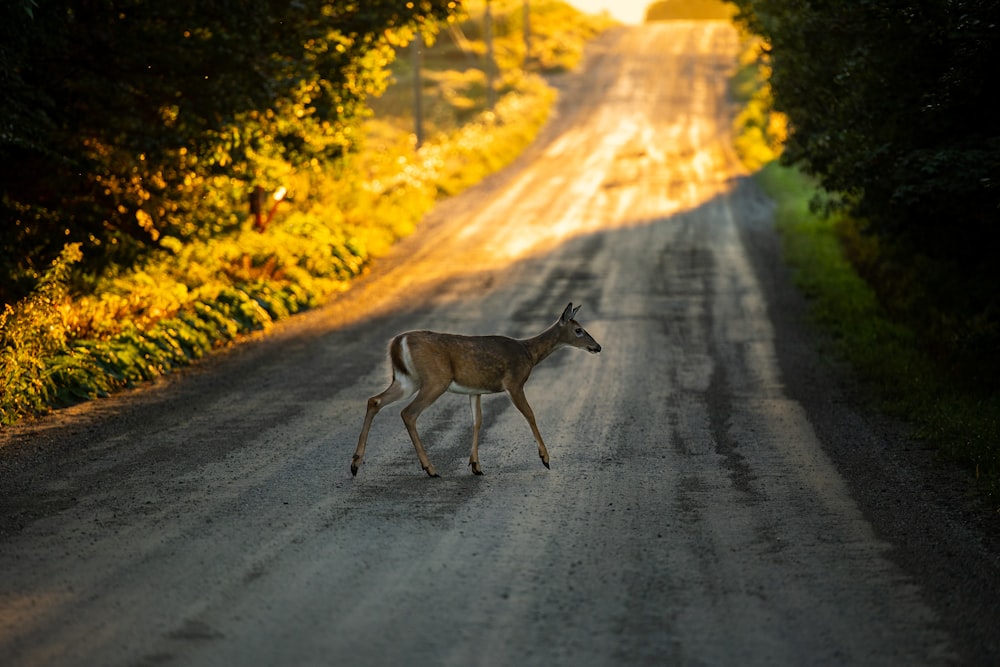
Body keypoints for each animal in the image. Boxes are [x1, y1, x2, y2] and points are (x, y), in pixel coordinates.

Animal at [352, 306, 600, 478]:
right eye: (579, 330)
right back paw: (430, 468)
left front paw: (476, 466)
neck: (529, 353)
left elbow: (477, 421)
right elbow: (530, 414)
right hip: (435, 380)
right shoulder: (514, 382)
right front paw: (545, 458)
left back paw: (355, 463)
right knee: (408, 413)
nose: (597, 347)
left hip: (406, 380)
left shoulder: (475, 391)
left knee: (374, 400)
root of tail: (398, 341)